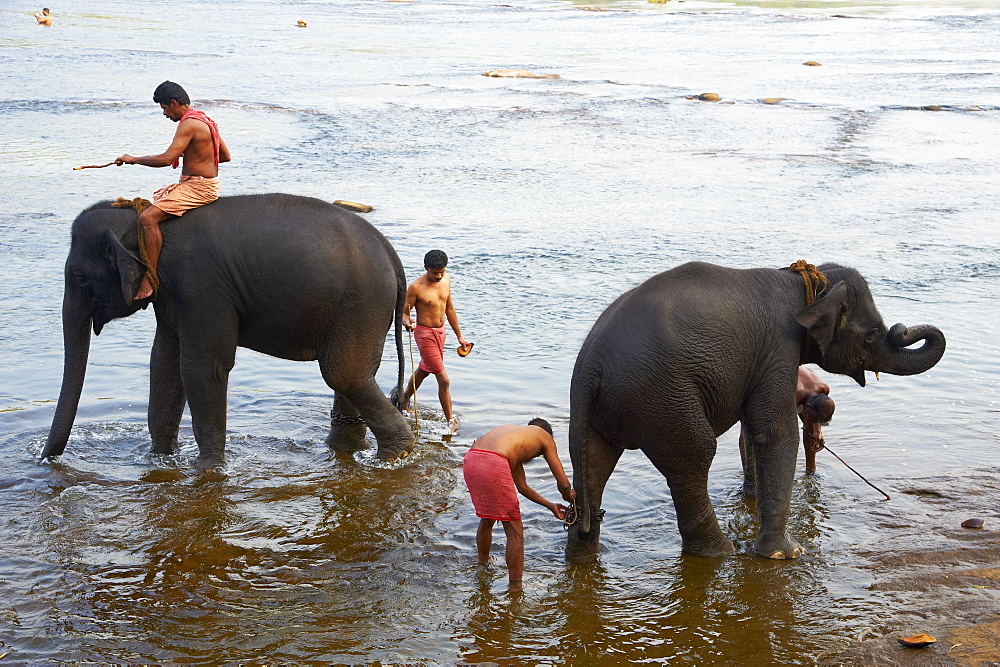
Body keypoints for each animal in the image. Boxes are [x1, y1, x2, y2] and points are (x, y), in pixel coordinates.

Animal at [572, 264, 944, 560]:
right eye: (871, 334)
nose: (901, 327)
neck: (803, 282)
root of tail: (591, 362)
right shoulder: (779, 347)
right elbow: (775, 432)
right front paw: (785, 554)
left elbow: (754, 430)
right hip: (662, 397)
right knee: (695, 453)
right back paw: (721, 552)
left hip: (603, 407)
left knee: (594, 463)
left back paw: (583, 555)